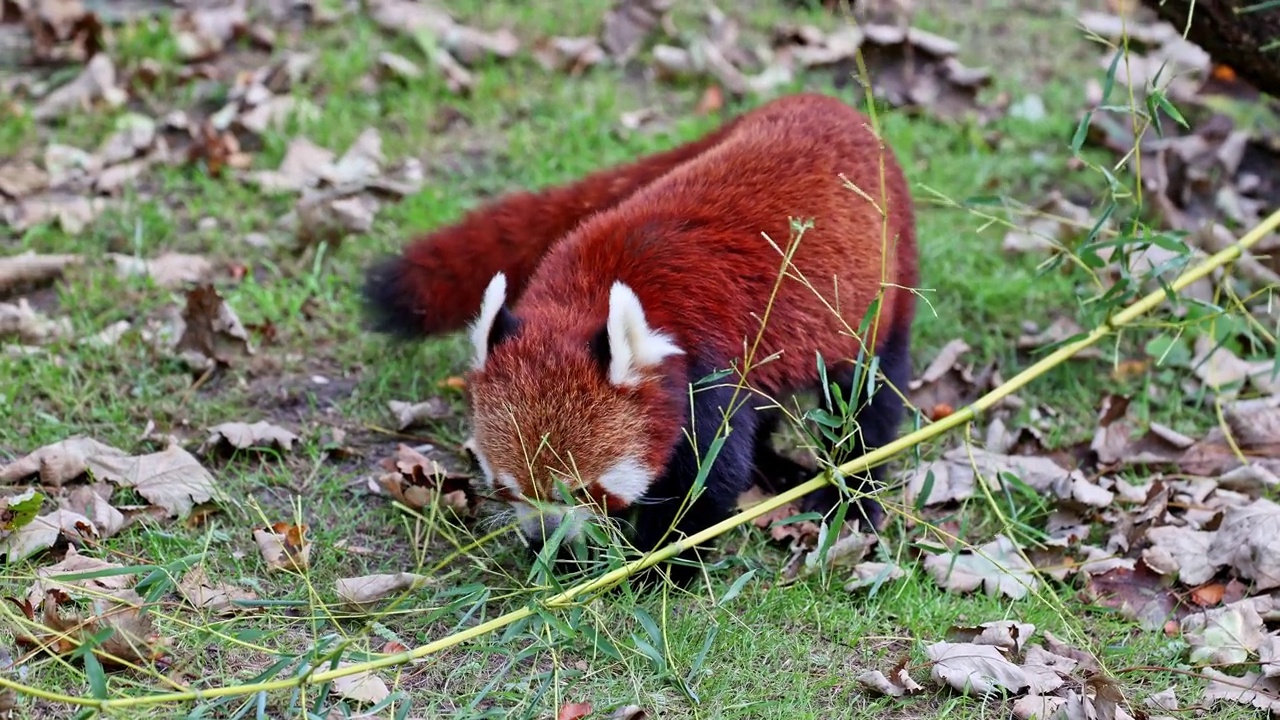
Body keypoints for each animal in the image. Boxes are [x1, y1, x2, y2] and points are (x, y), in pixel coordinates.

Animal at [366, 90, 916, 584]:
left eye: (584, 490)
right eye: (508, 486)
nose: (545, 538)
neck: (592, 290)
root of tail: (821, 102)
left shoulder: (707, 371)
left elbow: (706, 482)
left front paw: (655, 567)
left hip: (885, 283)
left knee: (868, 391)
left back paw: (851, 491)